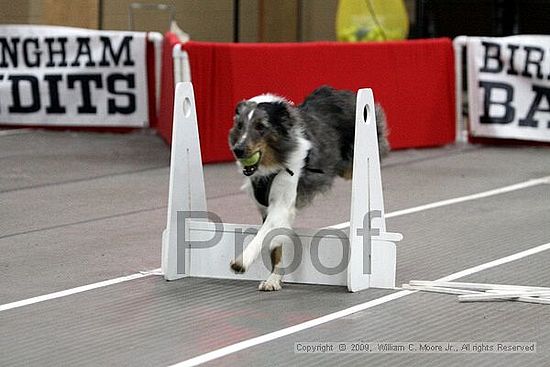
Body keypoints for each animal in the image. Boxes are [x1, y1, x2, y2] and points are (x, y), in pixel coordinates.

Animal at [226, 85, 390, 292]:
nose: (238, 150)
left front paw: (242, 261)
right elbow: (275, 245)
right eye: (240, 125)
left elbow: (263, 234)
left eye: (260, 126)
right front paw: (274, 279)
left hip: (353, 164)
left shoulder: (282, 205)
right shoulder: (265, 207)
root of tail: (347, 92)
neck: (272, 163)